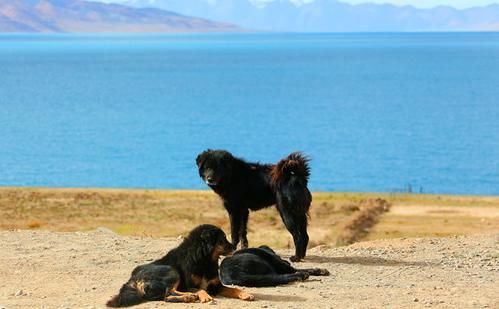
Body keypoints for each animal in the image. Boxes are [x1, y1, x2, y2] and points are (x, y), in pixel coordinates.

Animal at [106, 224, 254, 306]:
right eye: (222, 239)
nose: (235, 247)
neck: (204, 259)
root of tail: (132, 280)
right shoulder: (188, 285)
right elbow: (199, 289)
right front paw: (204, 296)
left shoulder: (216, 286)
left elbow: (234, 289)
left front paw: (245, 293)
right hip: (171, 271)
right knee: (168, 294)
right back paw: (188, 296)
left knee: (167, 295)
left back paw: (188, 297)